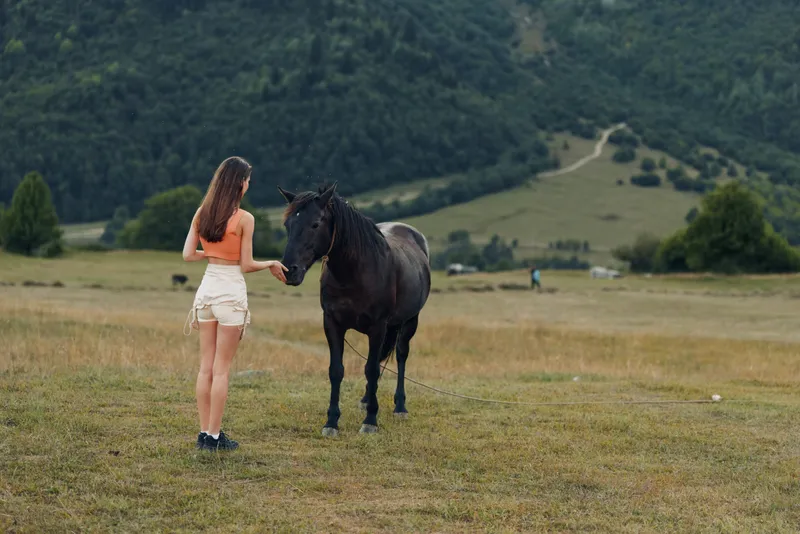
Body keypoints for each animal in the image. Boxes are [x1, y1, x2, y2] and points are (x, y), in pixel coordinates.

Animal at [277, 182, 431, 436]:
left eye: (315, 224)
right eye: (288, 225)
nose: (289, 271)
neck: (355, 272)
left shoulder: (378, 327)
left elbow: (372, 369)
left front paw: (370, 421)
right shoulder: (332, 323)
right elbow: (337, 370)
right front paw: (331, 422)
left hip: (410, 321)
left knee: (400, 355)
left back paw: (400, 407)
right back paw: (366, 399)